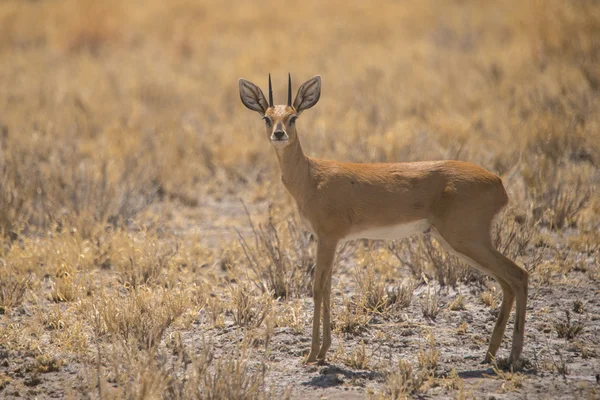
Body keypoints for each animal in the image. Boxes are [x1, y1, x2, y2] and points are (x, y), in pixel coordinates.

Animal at [237, 73, 528, 368]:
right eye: (267, 117)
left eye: (293, 117)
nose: (279, 134)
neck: (310, 176)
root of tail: (498, 182)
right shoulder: (329, 240)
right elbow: (328, 288)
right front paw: (323, 352)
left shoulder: (327, 238)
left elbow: (318, 289)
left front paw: (311, 354)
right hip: (459, 241)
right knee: (508, 282)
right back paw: (491, 354)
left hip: (467, 240)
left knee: (518, 275)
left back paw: (512, 358)